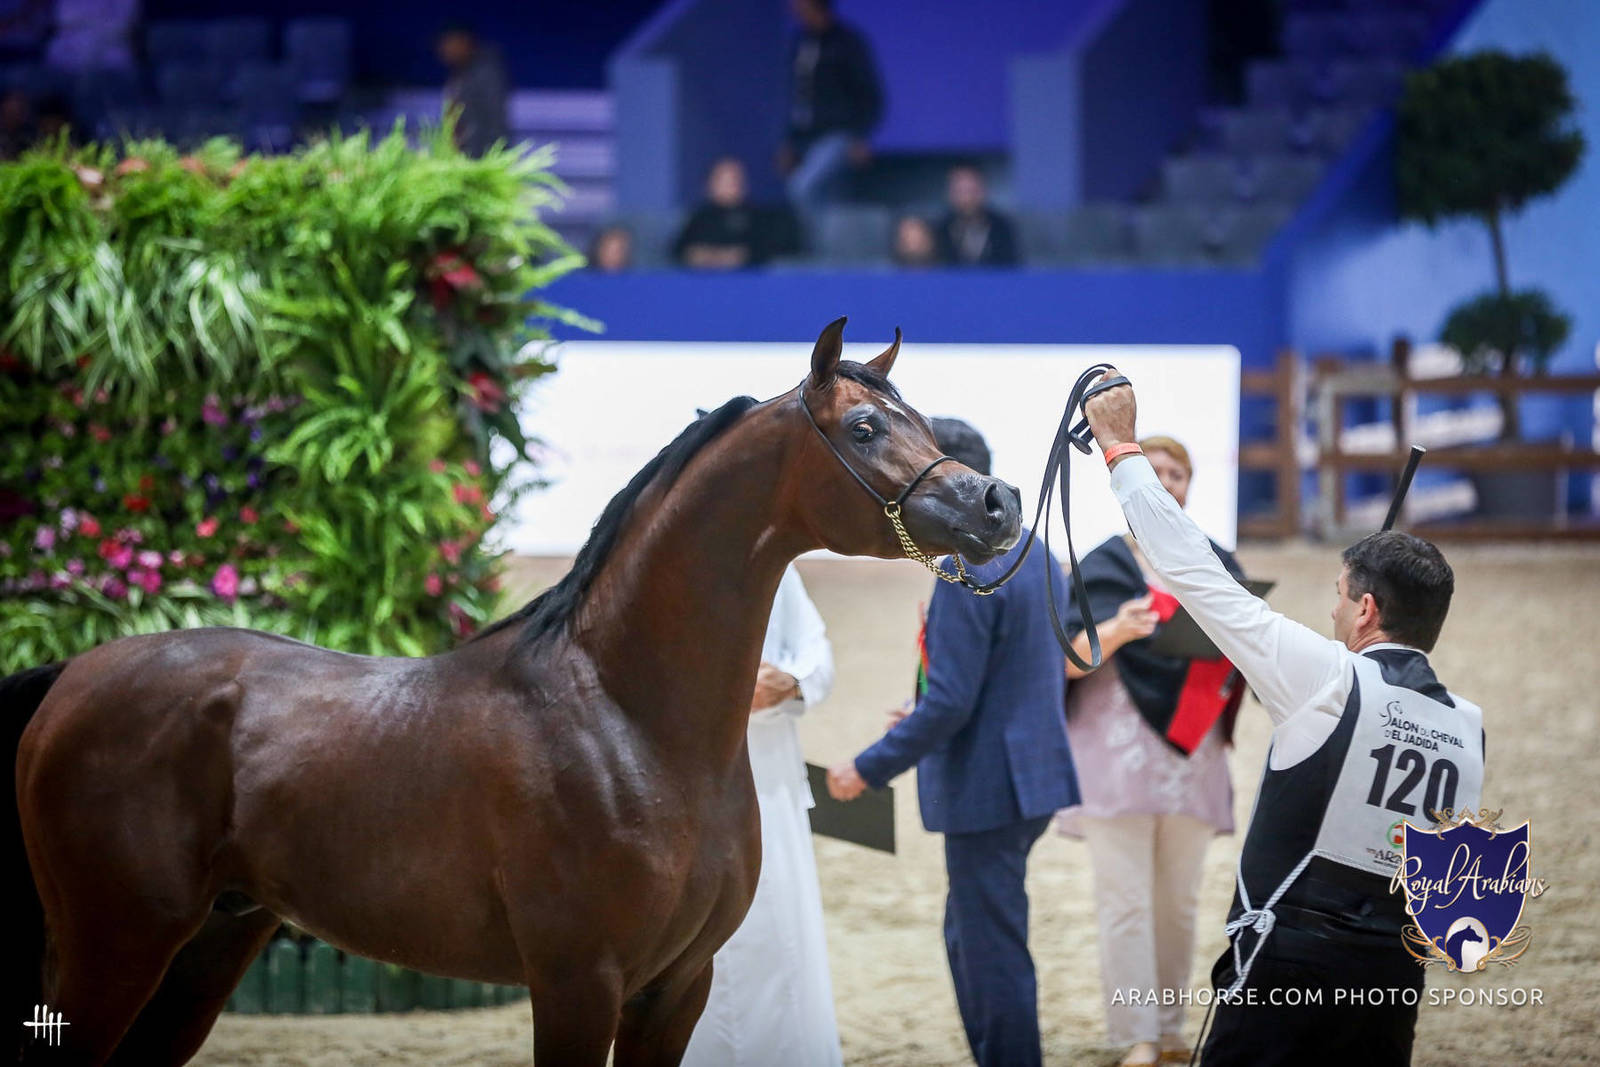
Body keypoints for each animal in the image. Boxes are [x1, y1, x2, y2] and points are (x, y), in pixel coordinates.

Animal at [5, 317, 1023, 1066]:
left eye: (920, 421)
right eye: (864, 428)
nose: (999, 503)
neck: (627, 720)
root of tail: (76, 676)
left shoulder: (674, 990)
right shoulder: (578, 983)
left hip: (208, 948)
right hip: (115, 945)